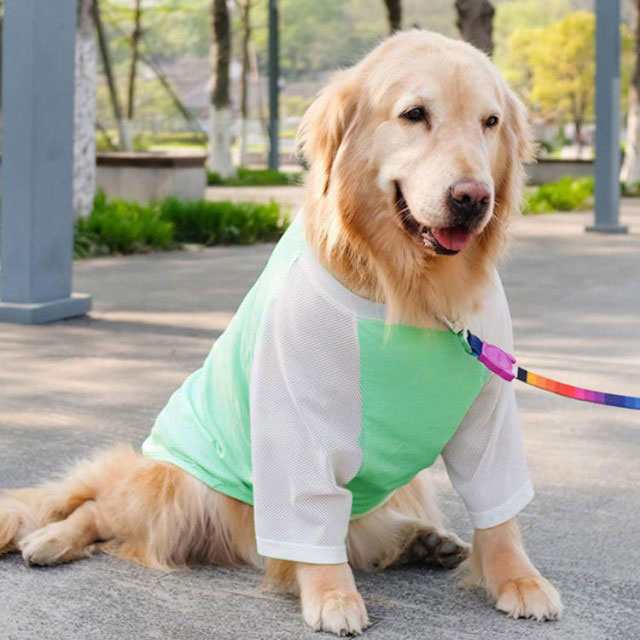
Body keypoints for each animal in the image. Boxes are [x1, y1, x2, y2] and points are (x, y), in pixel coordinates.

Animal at [0, 30, 560, 636]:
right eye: (415, 114)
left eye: (490, 122)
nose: (473, 198)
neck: (410, 294)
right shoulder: (295, 413)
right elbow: (309, 516)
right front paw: (333, 595)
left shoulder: (489, 410)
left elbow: (499, 512)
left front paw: (518, 580)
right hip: (185, 488)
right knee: (101, 508)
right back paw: (50, 539)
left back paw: (422, 540)